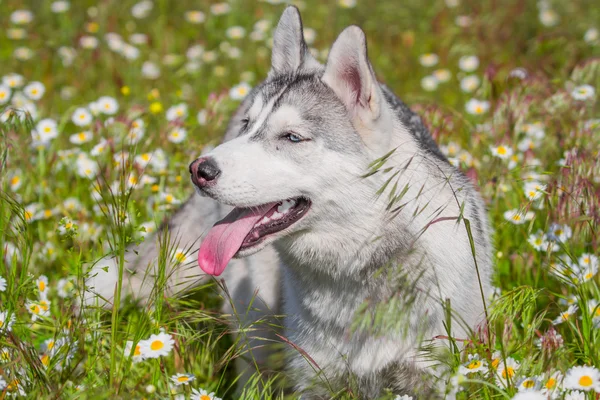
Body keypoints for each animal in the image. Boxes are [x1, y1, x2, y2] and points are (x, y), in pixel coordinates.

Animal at [89, 6, 492, 400]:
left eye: (292, 137)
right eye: (248, 126)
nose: (199, 170)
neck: (359, 270)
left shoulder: (431, 378)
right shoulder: (314, 381)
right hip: (257, 330)